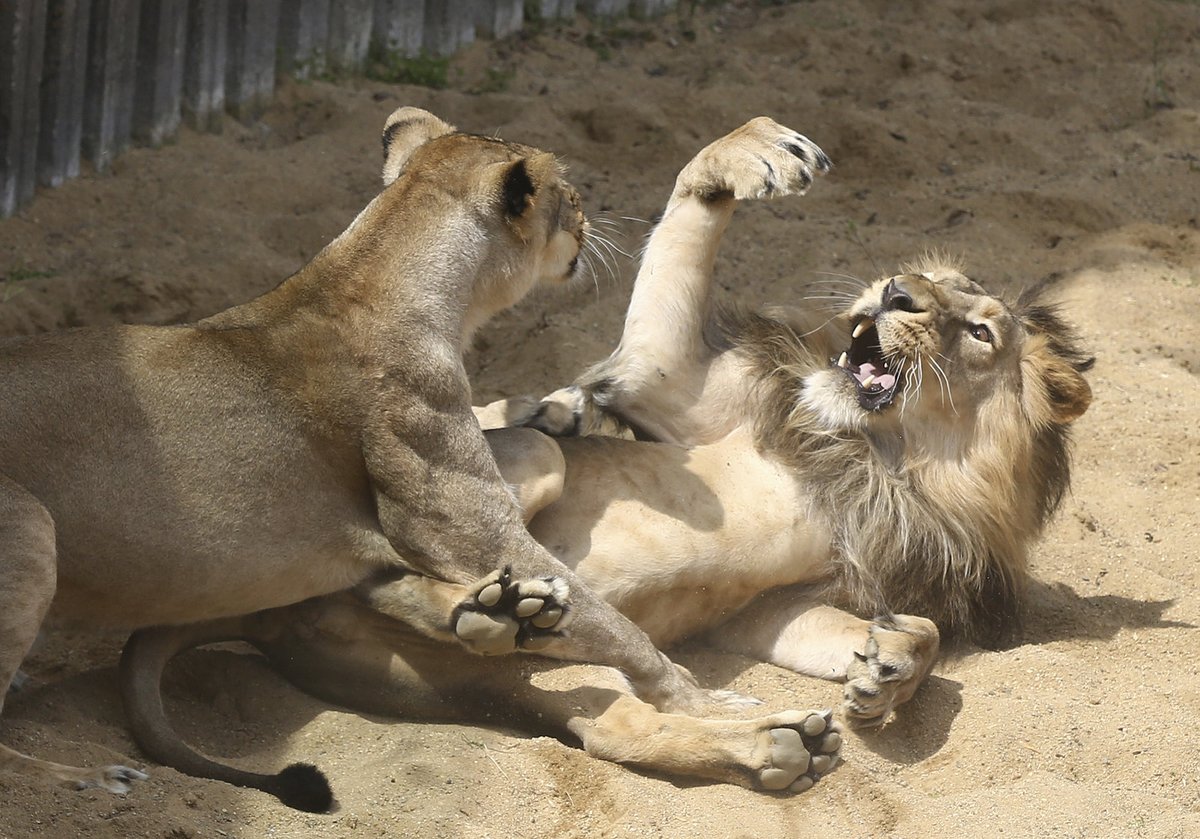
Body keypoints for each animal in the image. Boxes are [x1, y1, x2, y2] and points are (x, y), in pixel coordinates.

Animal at [0, 105, 758, 806]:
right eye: (568, 194)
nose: (588, 216)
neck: (382, 272)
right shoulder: (464, 525)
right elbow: (618, 627)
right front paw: (705, 699)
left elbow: (533, 458)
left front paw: (504, 604)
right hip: (30, 528)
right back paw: (94, 778)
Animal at [114, 116, 1089, 806]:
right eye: (912, 278)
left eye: (977, 329)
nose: (892, 293)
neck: (885, 452)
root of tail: (268, 611)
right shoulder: (669, 381)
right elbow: (689, 216)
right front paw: (758, 154)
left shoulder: (782, 604)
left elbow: (912, 633)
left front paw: (882, 676)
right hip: (521, 470)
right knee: (415, 547)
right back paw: (503, 589)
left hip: (500, 676)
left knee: (611, 722)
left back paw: (757, 736)